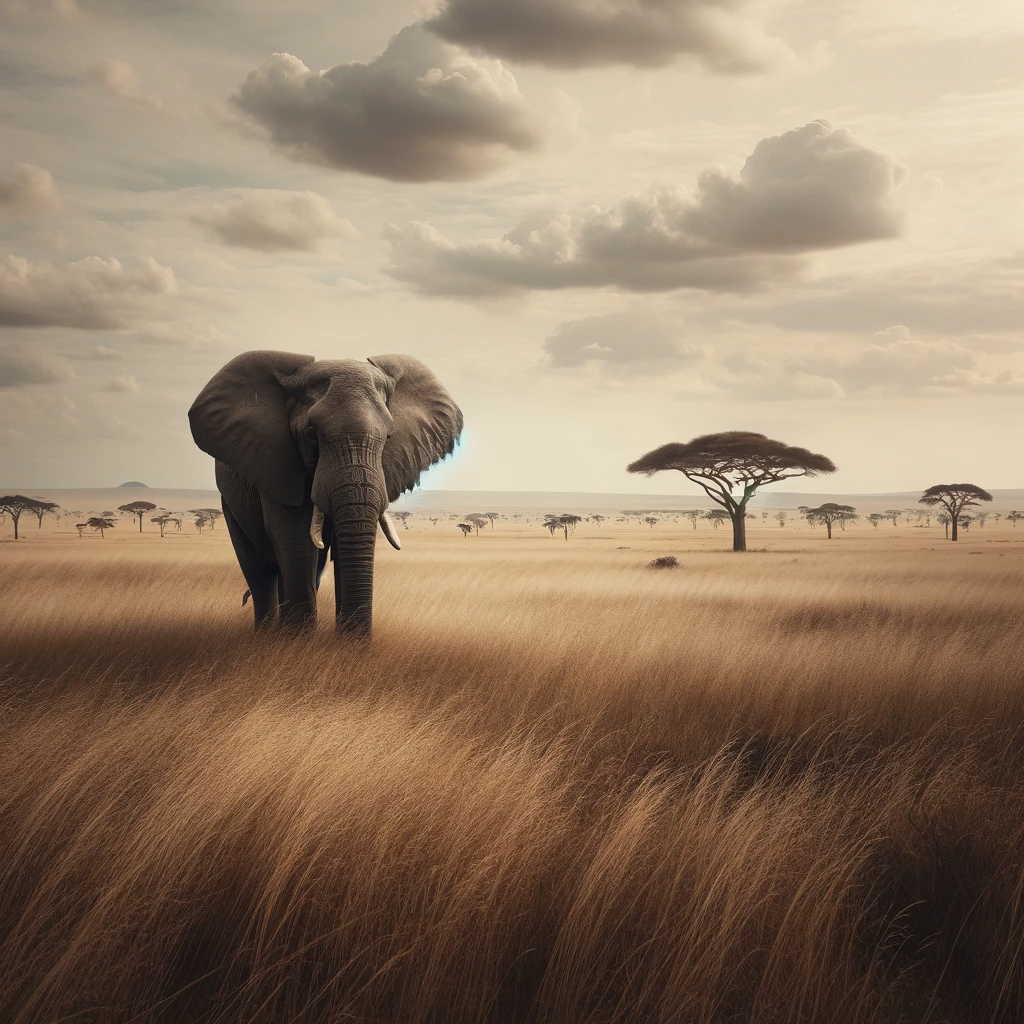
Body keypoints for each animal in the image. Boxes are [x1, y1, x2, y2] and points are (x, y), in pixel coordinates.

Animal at [188, 351, 462, 637]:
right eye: (311, 435)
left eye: (388, 437)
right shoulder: (280, 465)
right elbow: (296, 541)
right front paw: (298, 642)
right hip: (229, 502)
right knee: (260, 572)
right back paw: (267, 636)